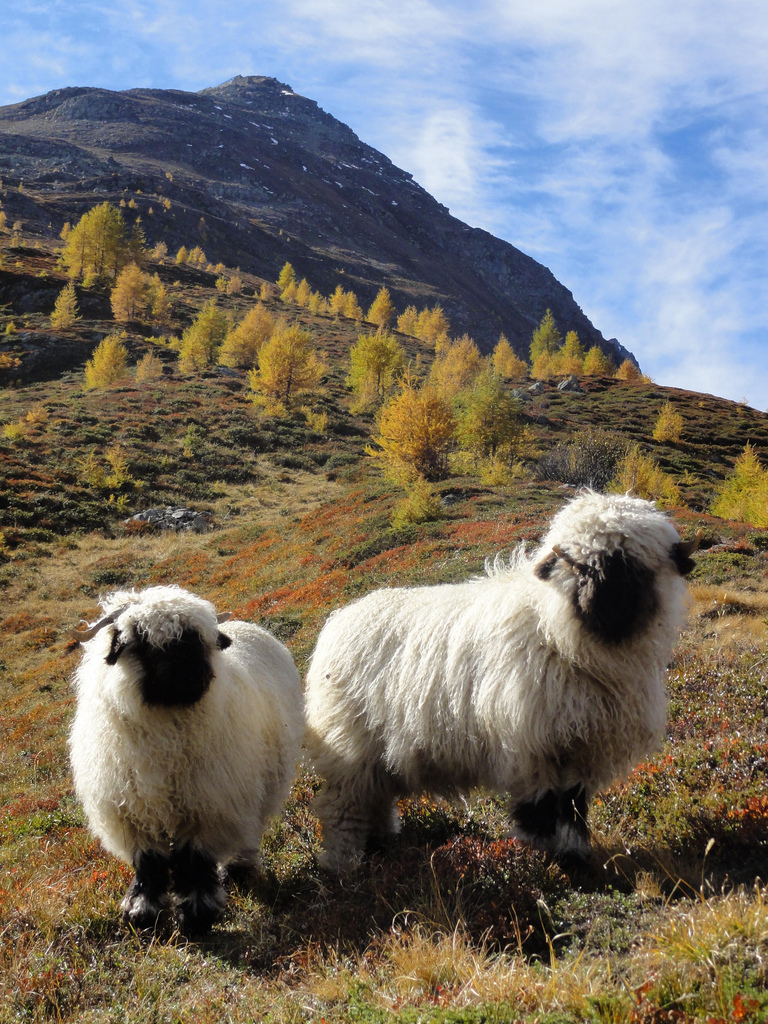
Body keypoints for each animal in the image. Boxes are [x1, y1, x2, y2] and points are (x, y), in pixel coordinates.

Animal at [68, 584, 304, 933]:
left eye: (197, 639)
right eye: (142, 642)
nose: (193, 677)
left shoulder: (205, 806)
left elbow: (194, 861)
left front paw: (197, 915)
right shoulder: (134, 814)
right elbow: (149, 865)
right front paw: (142, 913)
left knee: (249, 830)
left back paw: (238, 869)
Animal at [304, 491, 699, 873]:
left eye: (635, 566)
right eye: (577, 565)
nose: (605, 605)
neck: (555, 632)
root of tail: (338, 620)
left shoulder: (577, 748)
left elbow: (573, 807)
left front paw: (575, 854)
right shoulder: (532, 745)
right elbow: (542, 809)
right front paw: (548, 860)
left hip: (375, 754)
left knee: (375, 797)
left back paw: (383, 840)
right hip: (349, 746)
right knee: (343, 806)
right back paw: (343, 862)